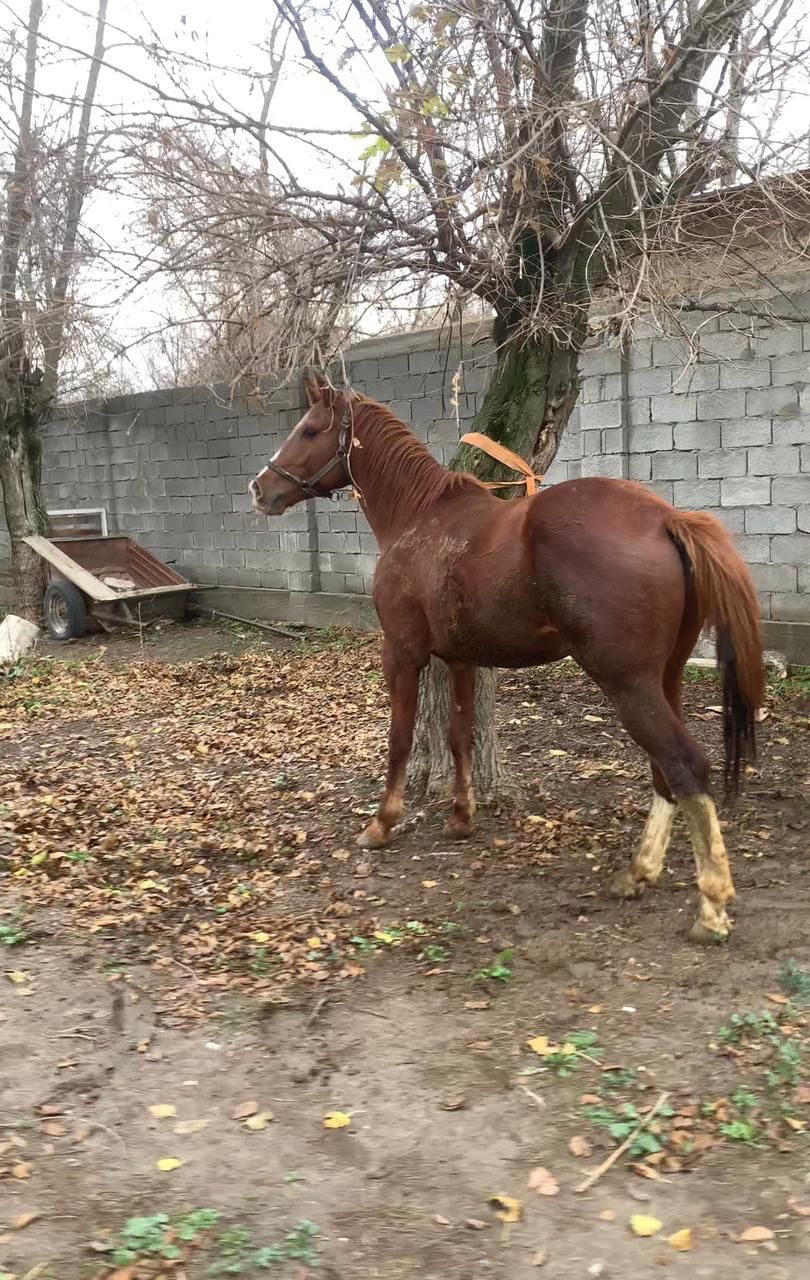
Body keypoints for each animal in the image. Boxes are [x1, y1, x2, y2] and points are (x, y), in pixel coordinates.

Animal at [249, 378, 762, 942]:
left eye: (309, 429)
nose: (260, 489)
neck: (420, 517)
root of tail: (667, 519)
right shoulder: (461, 660)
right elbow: (459, 736)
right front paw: (461, 817)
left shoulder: (402, 654)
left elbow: (400, 739)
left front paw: (382, 823)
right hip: (662, 680)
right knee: (665, 772)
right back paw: (639, 873)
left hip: (629, 684)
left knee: (684, 766)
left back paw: (710, 906)